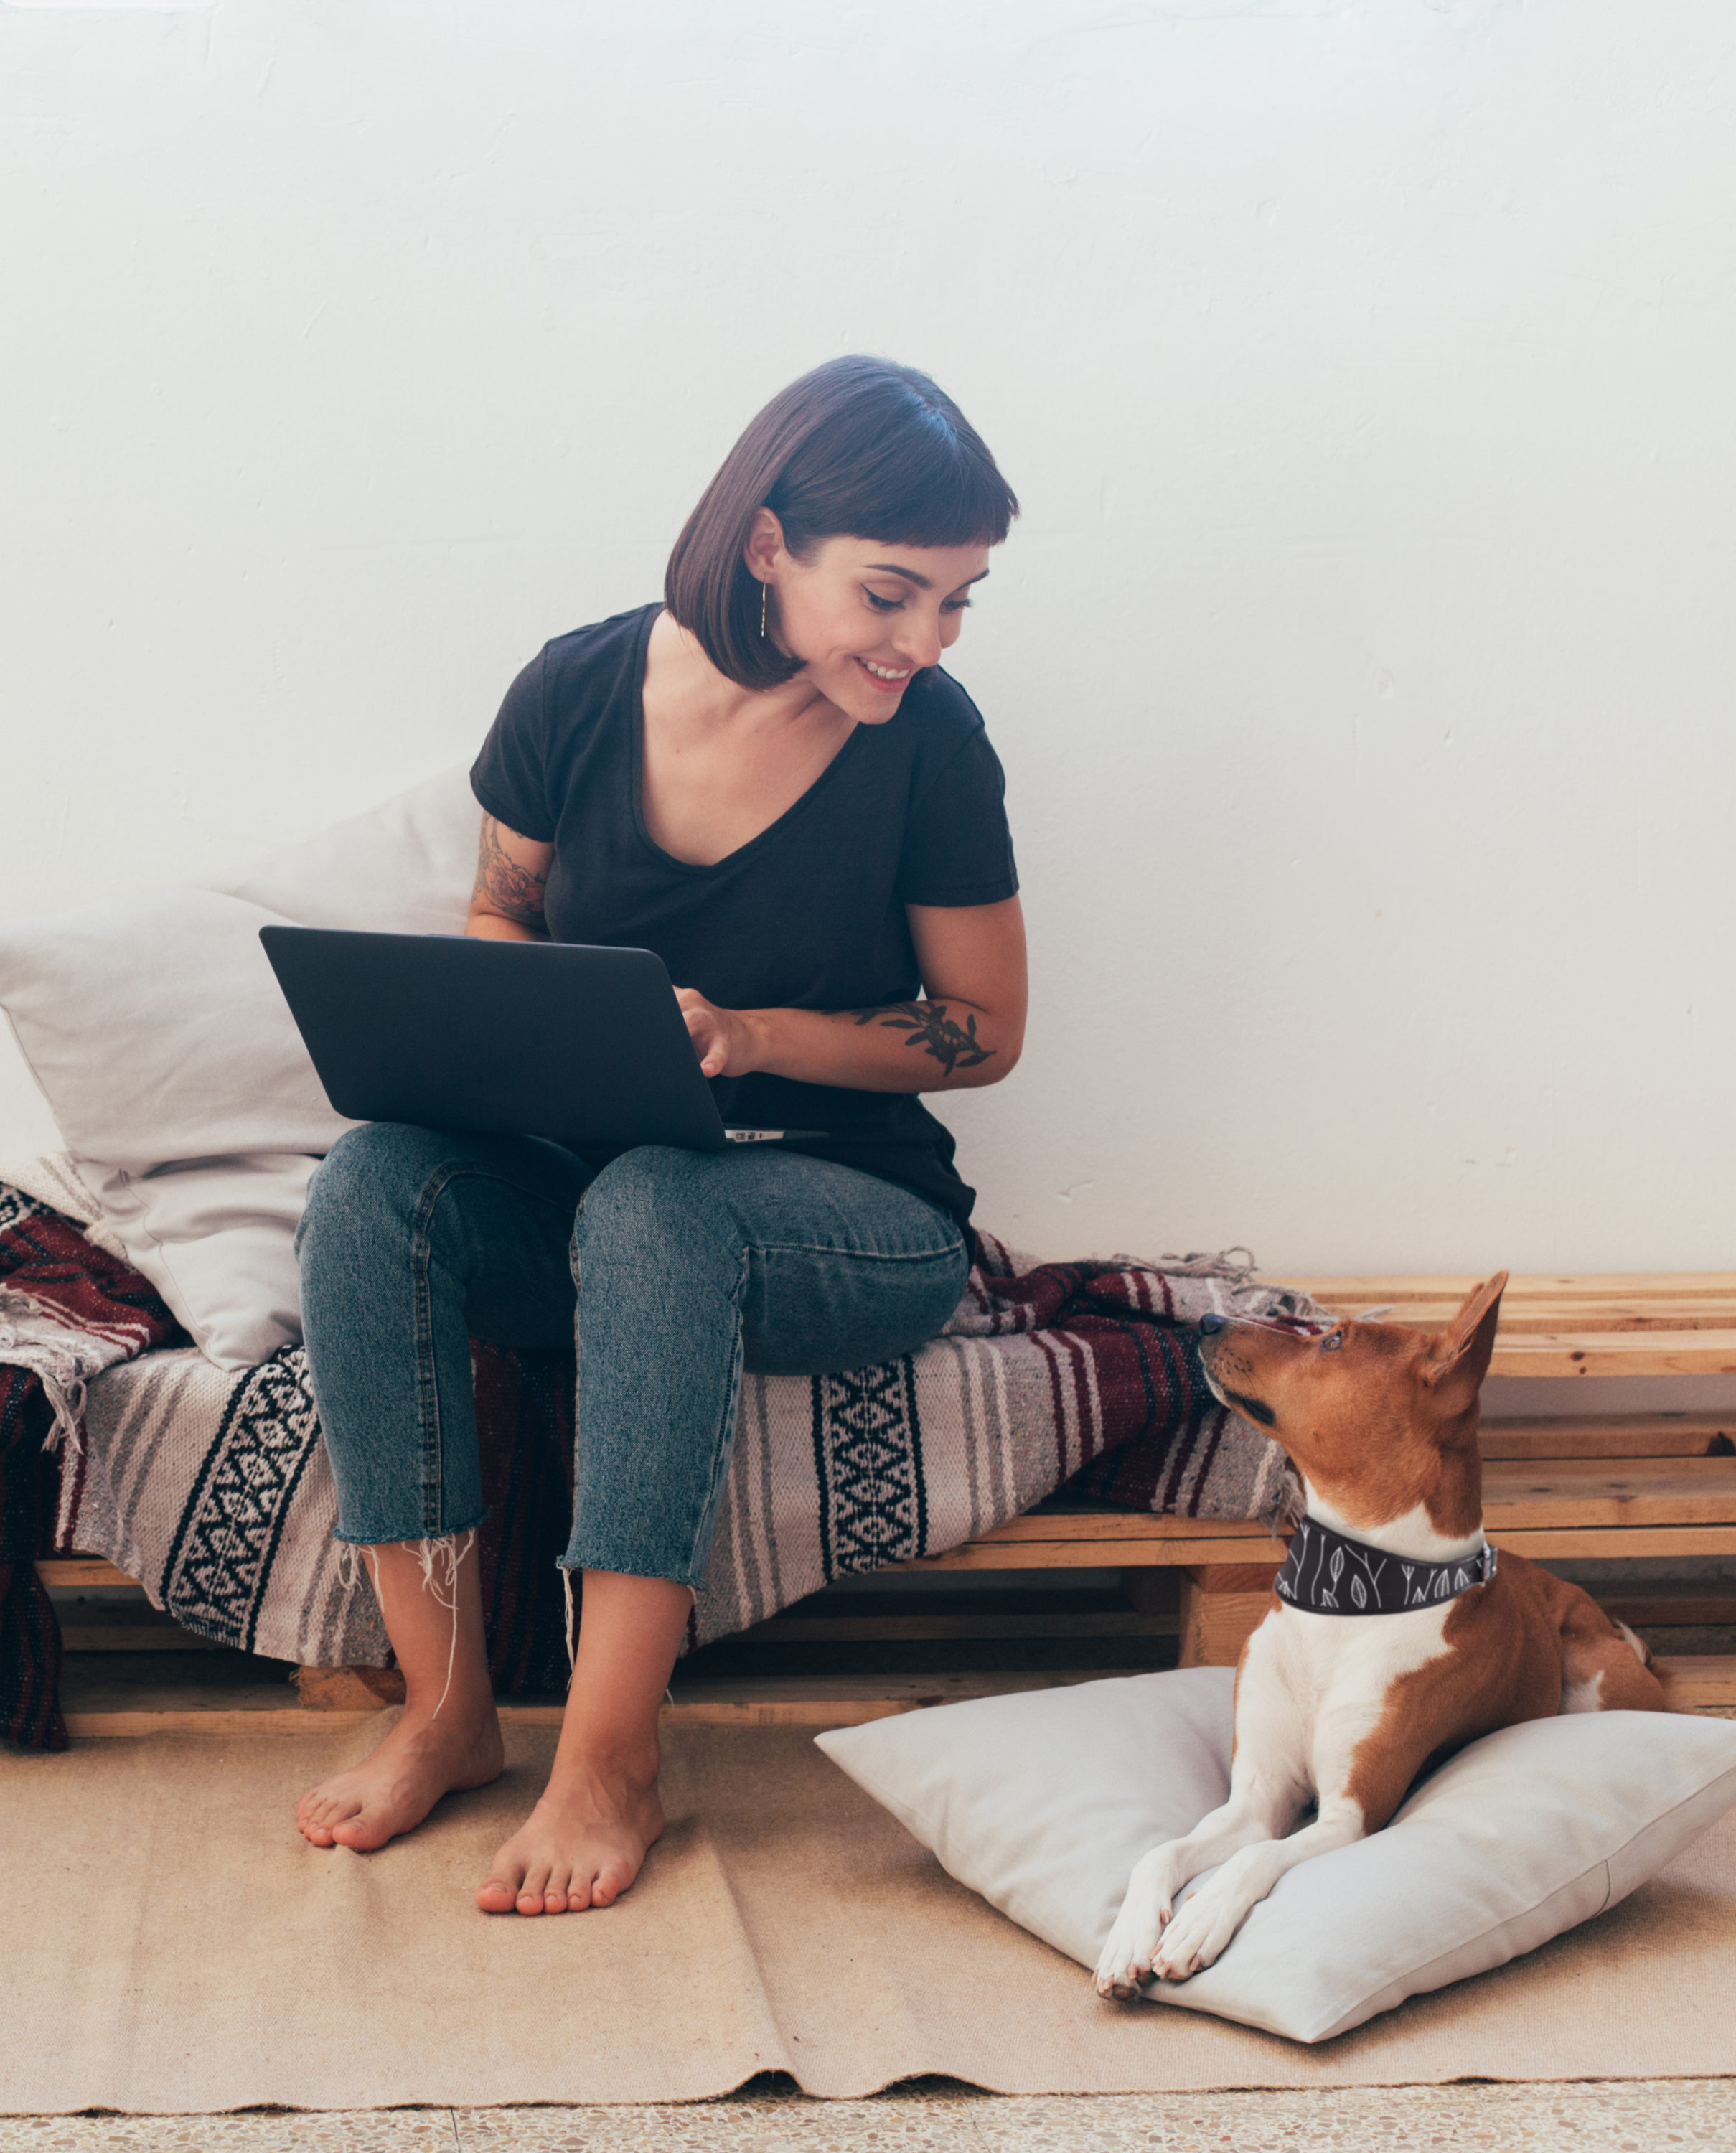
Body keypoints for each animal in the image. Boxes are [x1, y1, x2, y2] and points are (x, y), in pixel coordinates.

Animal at [1094, 1266, 1679, 1989]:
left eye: (1332, 1341)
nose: (1205, 1321)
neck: (1349, 1598)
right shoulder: (1257, 1796)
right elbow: (1160, 1852)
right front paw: (1127, 1938)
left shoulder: (1352, 1813)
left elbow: (1255, 1859)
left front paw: (1197, 1920)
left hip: (1594, 1679)